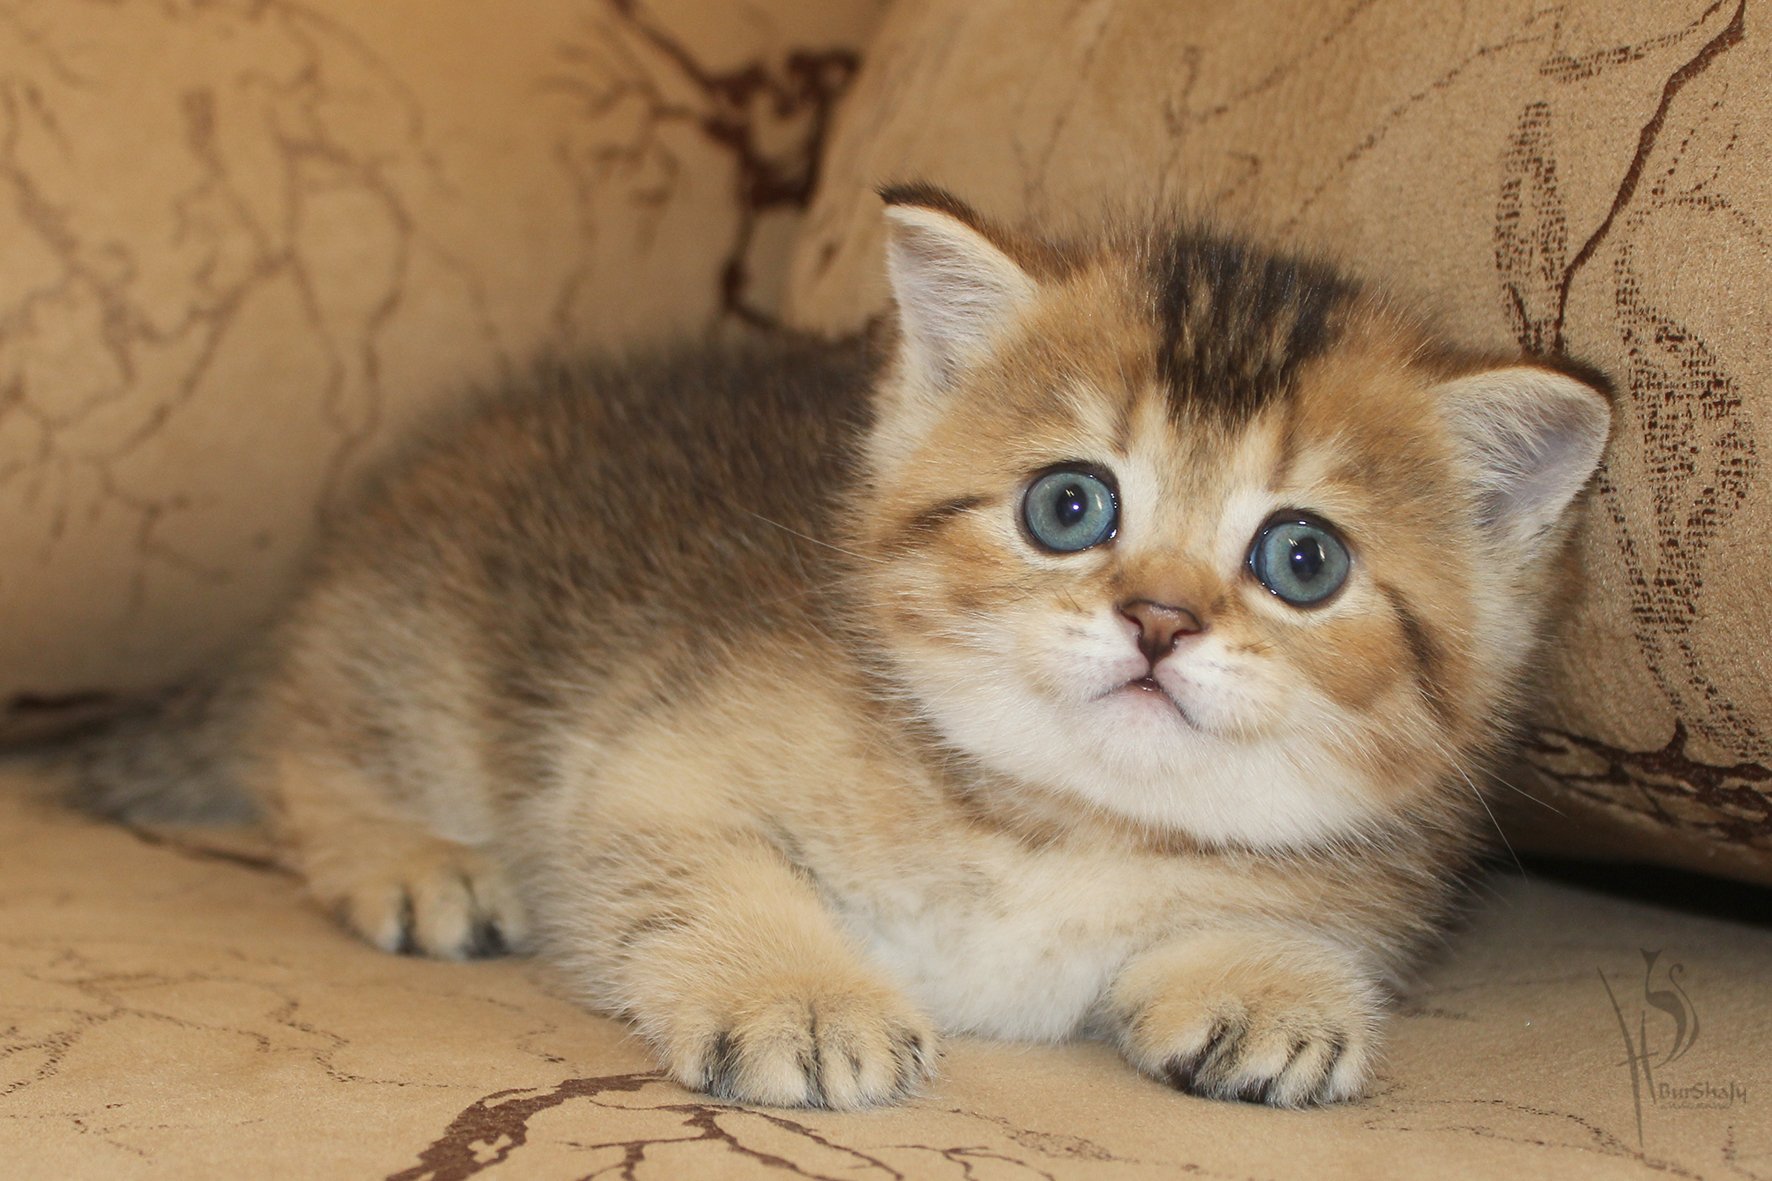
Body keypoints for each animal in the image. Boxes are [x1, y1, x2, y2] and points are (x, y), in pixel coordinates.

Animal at [75, 183, 1611, 1110]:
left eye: (1303, 560)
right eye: (1070, 506)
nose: (1159, 619)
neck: (1052, 825)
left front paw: (1273, 983)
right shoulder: (634, 766)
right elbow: (694, 868)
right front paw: (799, 992)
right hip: (426, 653)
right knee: (305, 756)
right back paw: (413, 856)